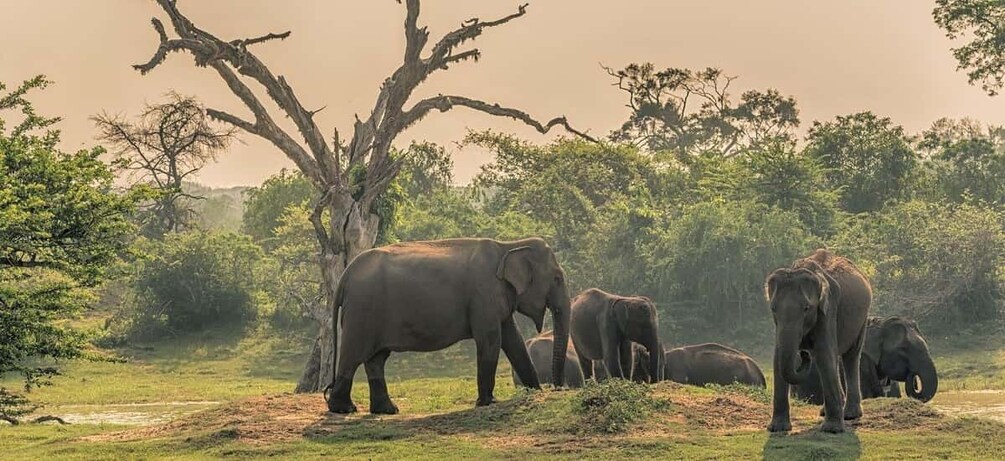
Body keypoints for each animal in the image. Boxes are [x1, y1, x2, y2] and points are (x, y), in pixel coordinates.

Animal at [326, 237, 572, 414]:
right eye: (558, 278)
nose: (558, 388)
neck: (509, 245)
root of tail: (345, 275)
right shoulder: (483, 296)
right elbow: (490, 340)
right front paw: (488, 402)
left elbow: (514, 340)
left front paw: (536, 392)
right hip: (362, 311)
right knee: (353, 355)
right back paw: (344, 409)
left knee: (376, 359)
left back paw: (387, 410)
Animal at [765, 249, 872, 433]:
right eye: (773, 308)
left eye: (806, 308)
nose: (804, 353)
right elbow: (777, 357)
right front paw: (776, 428)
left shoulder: (828, 309)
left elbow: (824, 353)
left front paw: (832, 430)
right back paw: (826, 411)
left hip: (862, 318)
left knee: (850, 357)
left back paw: (850, 415)